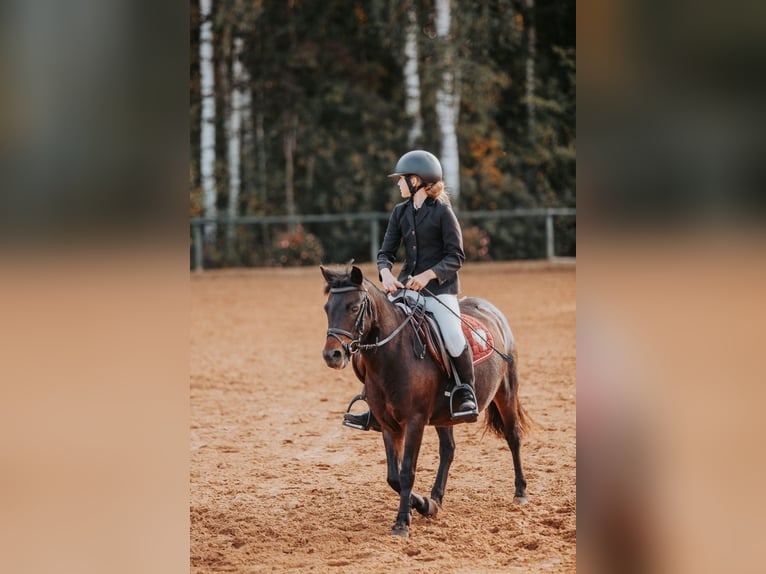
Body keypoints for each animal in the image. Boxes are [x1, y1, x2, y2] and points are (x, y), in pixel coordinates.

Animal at [320, 266, 532, 540]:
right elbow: (393, 476)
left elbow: (407, 471)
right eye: (327, 307)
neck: (392, 356)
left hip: (505, 392)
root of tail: (491, 310)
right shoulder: (388, 425)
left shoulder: (415, 421)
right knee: (448, 449)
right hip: (445, 415)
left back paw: (520, 492)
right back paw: (436, 498)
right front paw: (423, 506)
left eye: (354, 307)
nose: (332, 355)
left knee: (513, 436)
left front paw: (402, 523)